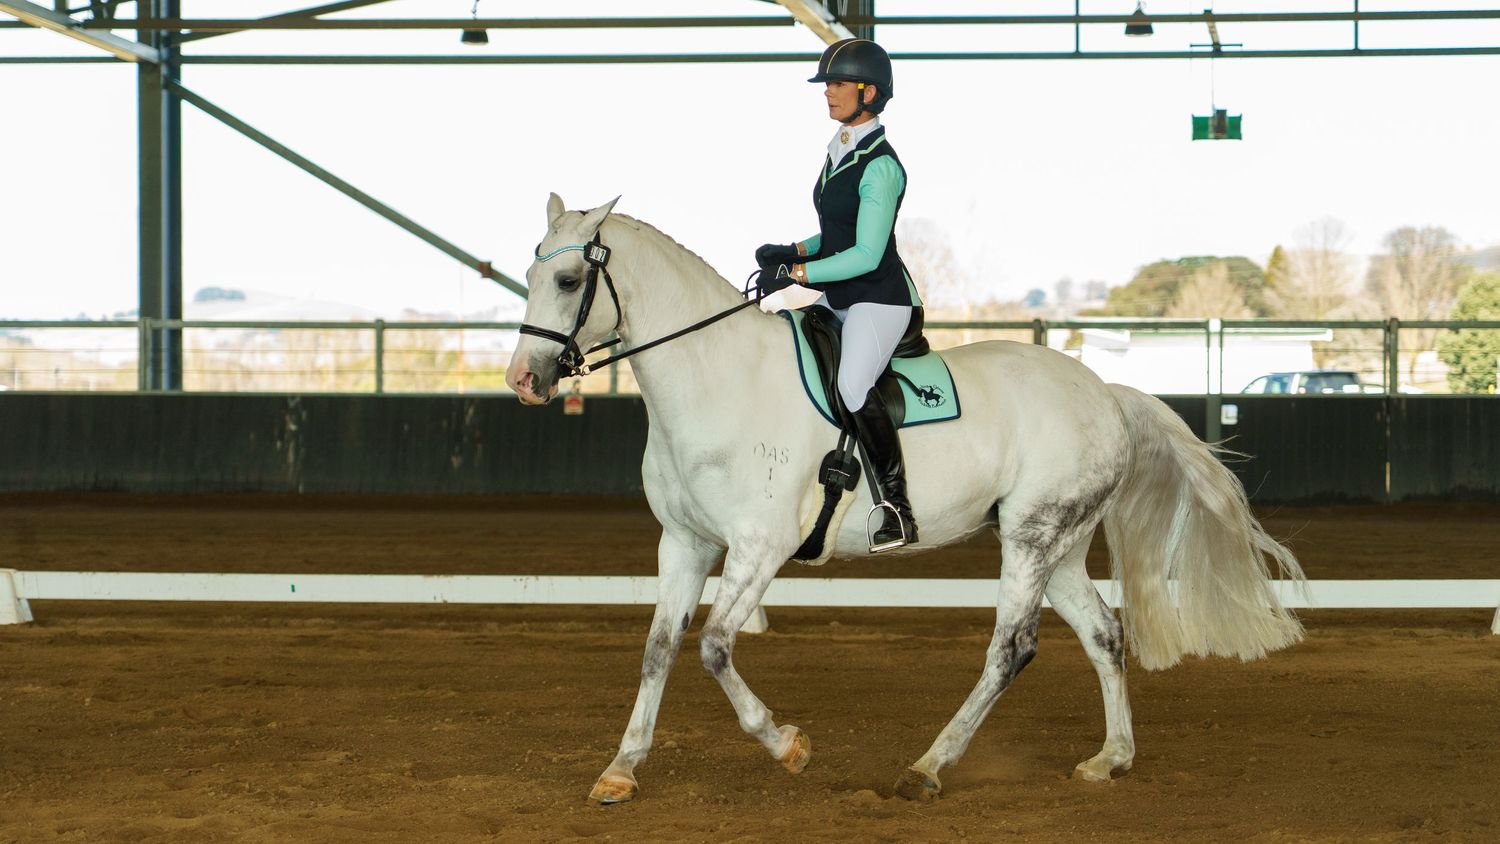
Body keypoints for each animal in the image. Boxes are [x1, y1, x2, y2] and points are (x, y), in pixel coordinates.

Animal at [504, 194, 1306, 805]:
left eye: (569, 279)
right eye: (531, 271)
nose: (523, 381)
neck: (717, 378)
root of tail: (1105, 391)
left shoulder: (760, 547)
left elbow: (715, 646)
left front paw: (788, 745)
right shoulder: (686, 542)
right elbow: (660, 647)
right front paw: (620, 769)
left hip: (1033, 538)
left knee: (1010, 649)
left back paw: (927, 767)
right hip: (1059, 544)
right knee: (1104, 634)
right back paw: (1111, 758)